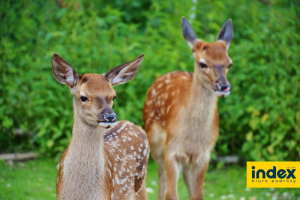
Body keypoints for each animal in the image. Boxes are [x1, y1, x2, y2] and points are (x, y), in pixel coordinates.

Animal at [143, 17, 234, 200]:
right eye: (203, 63)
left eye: (229, 64)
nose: (223, 86)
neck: (192, 138)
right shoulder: (171, 150)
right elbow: (171, 194)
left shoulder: (204, 155)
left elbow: (198, 194)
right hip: (155, 143)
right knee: (161, 178)